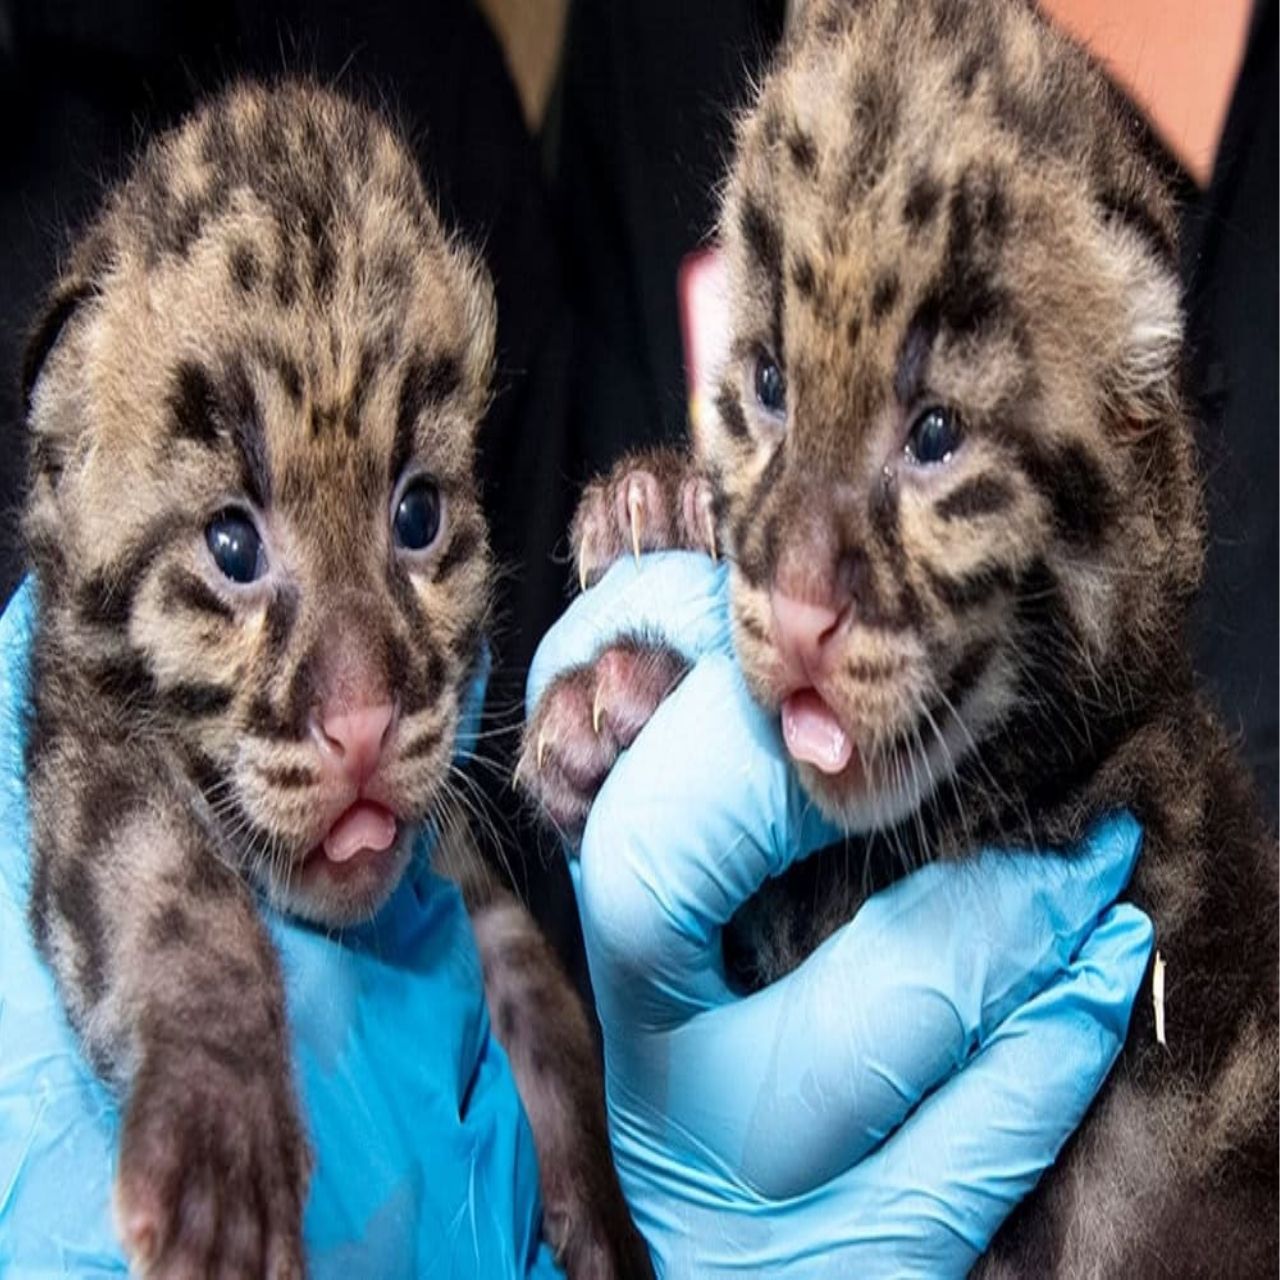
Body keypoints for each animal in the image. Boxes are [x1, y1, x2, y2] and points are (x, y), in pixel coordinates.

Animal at [21, 79, 649, 1278]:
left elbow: (540, 995)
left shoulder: (454, 868)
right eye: (231, 544)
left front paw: (605, 1214)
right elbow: (173, 892)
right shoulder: (83, 752)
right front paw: (218, 1145)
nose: (361, 723)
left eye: (417, 514)